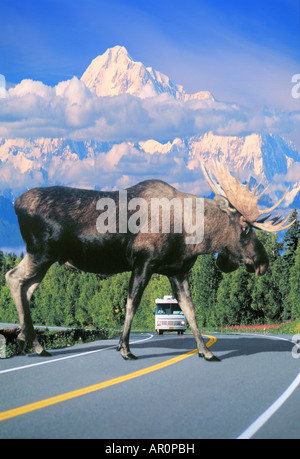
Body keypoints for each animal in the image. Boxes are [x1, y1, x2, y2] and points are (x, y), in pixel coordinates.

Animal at [5, 162, 294, 362]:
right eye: (245, 229)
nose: (263, 262)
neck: (191, 235)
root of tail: (16, 204)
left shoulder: (177, 271)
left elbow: (190, 311)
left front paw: (206, 352)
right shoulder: (143, 262)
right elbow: (131, 304)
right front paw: (124, 348)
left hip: (46, 259)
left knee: (26, 288)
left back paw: (31, 342)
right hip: (41, 252)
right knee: (13, 277)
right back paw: (31, 341)